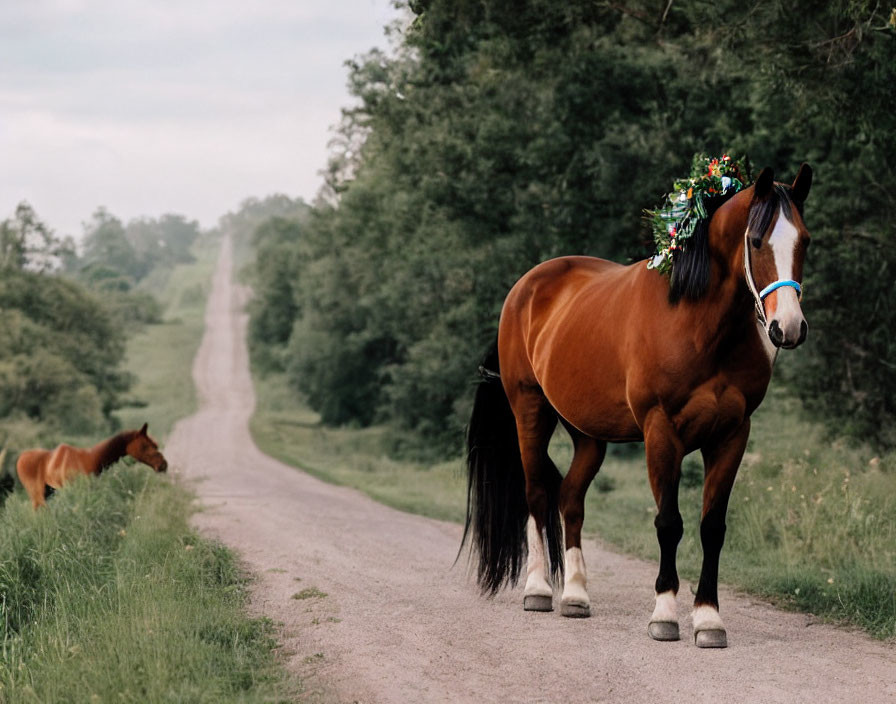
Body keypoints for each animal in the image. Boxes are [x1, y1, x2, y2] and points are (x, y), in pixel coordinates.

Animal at [16, 420, 168, 508]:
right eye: (145, 445)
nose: (163, 465)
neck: (91, 459)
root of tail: (20, 459)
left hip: (49, 492)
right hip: (37, 495)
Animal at [462, 162, 812, 648]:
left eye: (805, 240)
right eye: (757, 241)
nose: (789, 327)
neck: (698, 323)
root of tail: (524, 289)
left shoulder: (732, 435)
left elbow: (712, 527)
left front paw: (709, 619)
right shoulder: (661, 431)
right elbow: (669, 523)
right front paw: (664, 614)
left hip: (588, 434)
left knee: (570, 498)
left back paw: (576, 595)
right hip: (530, 412)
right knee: (536, 494)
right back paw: (538, 590)